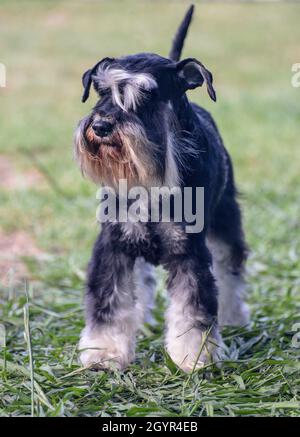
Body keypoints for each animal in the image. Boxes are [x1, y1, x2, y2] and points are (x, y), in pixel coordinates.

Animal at [73, 4, 248, 372]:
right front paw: (104, 353)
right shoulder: (114, 245)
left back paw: (234, 317)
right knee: (140, 283)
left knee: (230, 270)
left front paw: (194, 357)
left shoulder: (189, 251)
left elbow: (194, 308)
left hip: (226, 220)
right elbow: (109, 302)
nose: (101, 126)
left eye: (148, 95)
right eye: (101, 91)